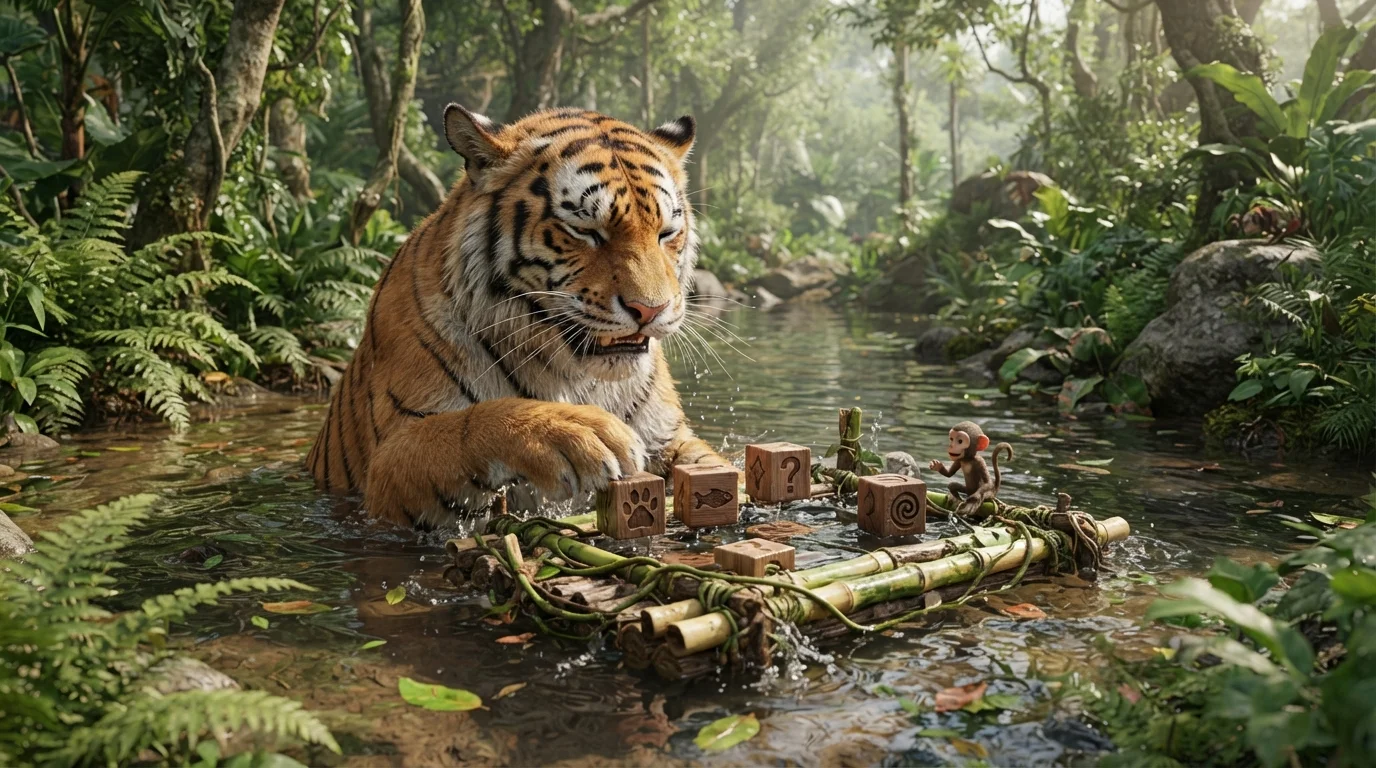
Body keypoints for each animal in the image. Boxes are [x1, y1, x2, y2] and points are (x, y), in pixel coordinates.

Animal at [305, 103, 728, 527]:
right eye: (584, 230)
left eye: (666, 232)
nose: (651, 309)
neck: (573, 375)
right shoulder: (388, 464)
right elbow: (468, 423)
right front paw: (576, 430)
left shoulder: (668, 438)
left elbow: (705, 461)